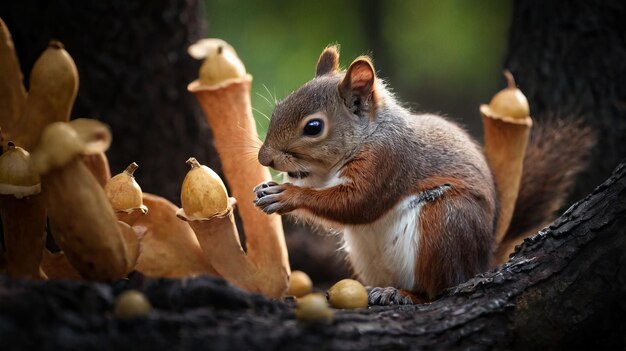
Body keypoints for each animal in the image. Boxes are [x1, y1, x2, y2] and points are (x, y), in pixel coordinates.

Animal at [252, 46, 588, 306]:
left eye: (313, 127)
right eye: (279, 107)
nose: (263, 158)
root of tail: (480, 262)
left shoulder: (388, 161)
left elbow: (358, 204)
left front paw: (288, 196)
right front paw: (269, 186)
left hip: (443, 224)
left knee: (438, 289)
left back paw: (404, 295)